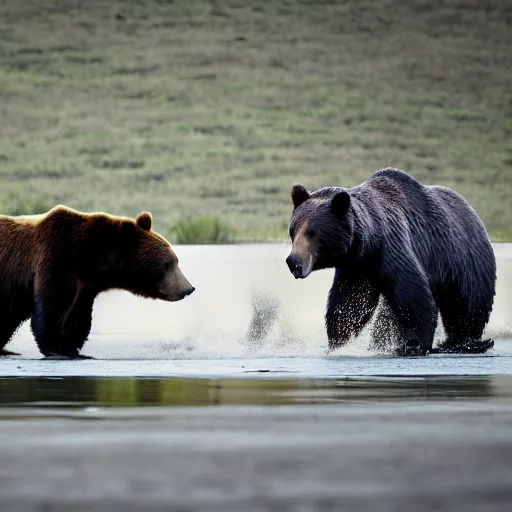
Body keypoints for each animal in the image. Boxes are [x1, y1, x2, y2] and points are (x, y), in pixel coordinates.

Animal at [0, 206, 195, 358]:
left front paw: (72, 347)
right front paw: (58, 348)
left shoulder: (86, 286)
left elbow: (78, 317)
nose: (188, 288)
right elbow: (52, 306)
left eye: (176, 261)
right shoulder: (57, 257)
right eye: (168, 263)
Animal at [286, 168, 494, 356]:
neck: (368, 242)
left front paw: (413, 344)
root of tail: (474, 214)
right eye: (293, 231)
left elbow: (414, 299)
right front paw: (338, 343)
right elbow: (348, 306)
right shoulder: (356, 268)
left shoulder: (391, 249)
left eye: (311, 233)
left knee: (467, 307)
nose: (293, 261)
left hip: (466, 261)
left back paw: (466, 343)